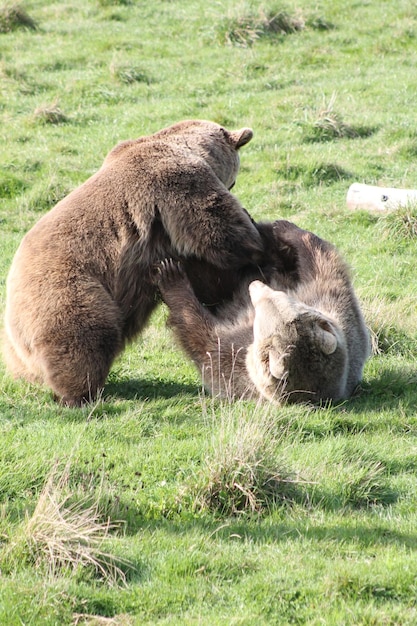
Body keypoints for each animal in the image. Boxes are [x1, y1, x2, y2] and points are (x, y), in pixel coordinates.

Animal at [2, 119, 264, 408]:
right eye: (233, 179)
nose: (232, 186)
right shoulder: (175, 183)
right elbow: (219, 227)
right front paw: (254, 237)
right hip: (68, 290)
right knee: (87, 334)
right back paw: (81, 393)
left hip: (17, 344)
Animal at [154, 219, 368, 402]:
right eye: (278, 296)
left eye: (262, 307)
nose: (255, 285)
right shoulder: (332, 306)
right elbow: (320, 262)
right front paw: (283, 227)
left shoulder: (237, 357)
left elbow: (202, 336)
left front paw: (171, 275)